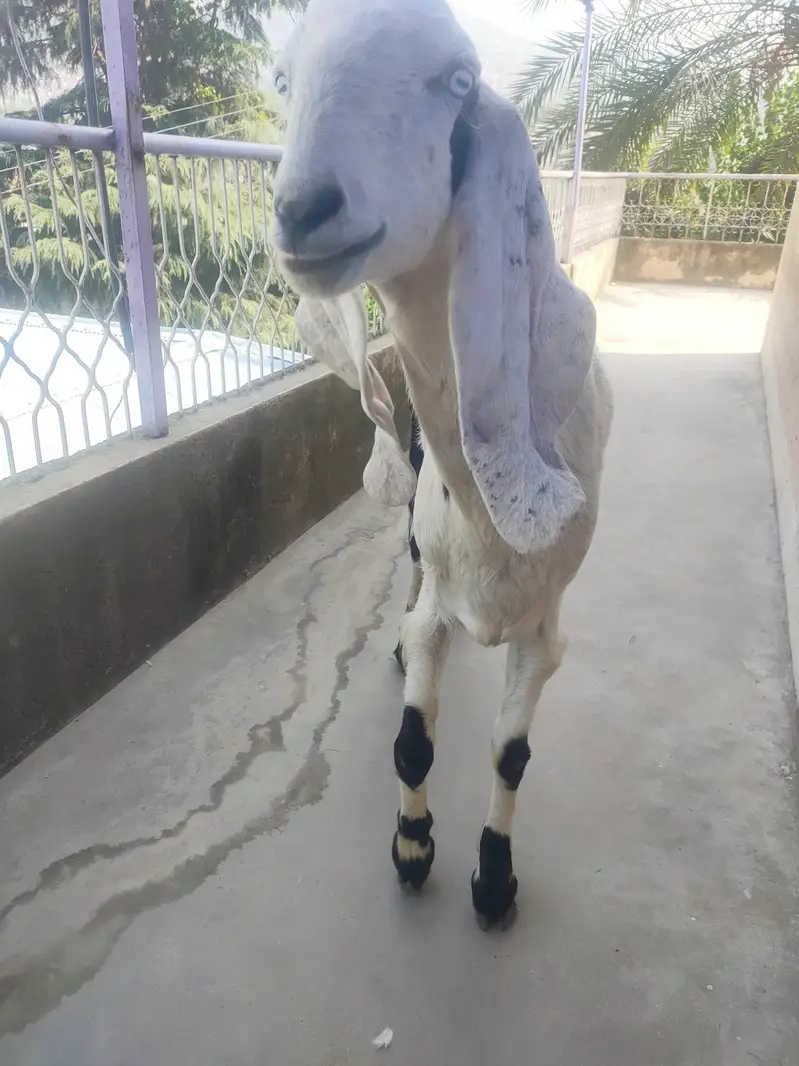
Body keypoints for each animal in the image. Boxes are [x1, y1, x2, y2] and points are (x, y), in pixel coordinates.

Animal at [271, 0, 613, 927]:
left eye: (456, 79)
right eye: (282, 82)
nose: (301, 210)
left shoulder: (548, 634)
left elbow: (509, 755)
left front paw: (493, 879)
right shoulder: (437, 611)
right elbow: (411, 742)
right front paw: (412, 849)